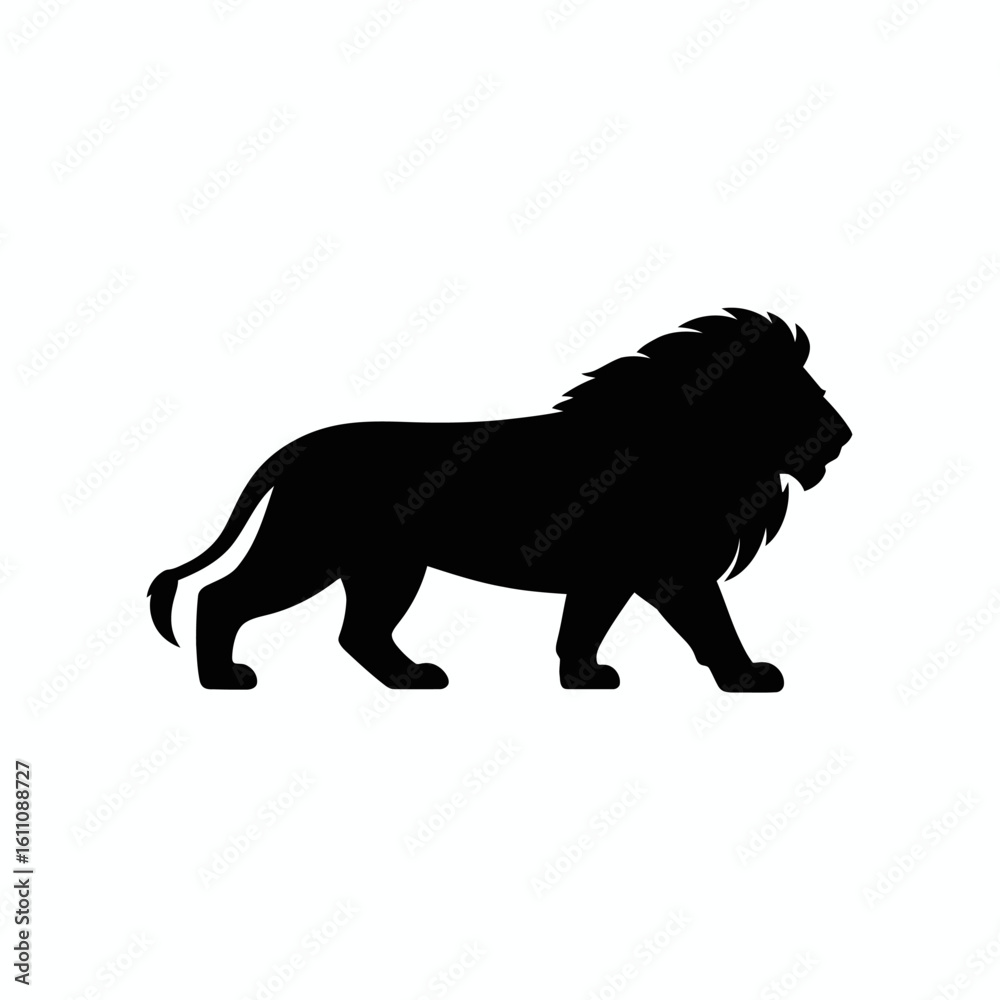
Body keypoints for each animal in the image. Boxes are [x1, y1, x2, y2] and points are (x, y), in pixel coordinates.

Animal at [149, 308, 851, 692]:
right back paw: (224, 680)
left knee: (360, 633)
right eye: (797, 396)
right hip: (309, 552)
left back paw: (413, 679)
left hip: (385, 568)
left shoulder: (608, 576)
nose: (843, 436)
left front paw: (585, 679)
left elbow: (582, 629)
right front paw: (749, 678)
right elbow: (713, 626)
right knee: (222, 598)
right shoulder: (672, 569)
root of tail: (301, 447)